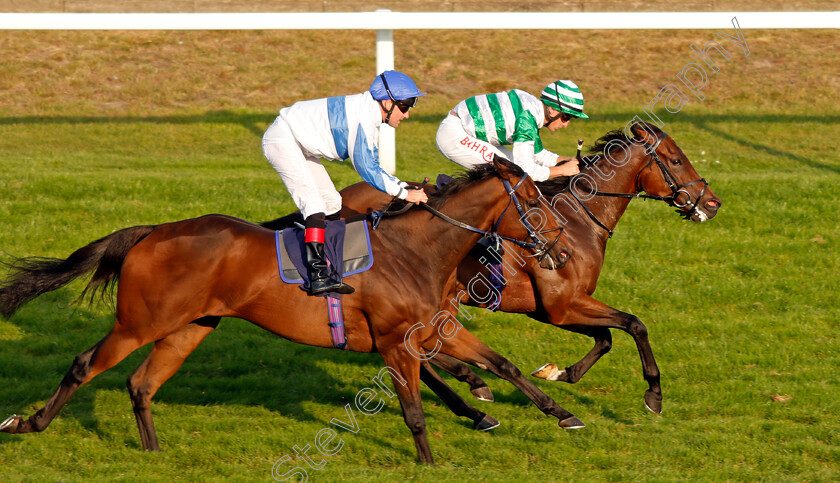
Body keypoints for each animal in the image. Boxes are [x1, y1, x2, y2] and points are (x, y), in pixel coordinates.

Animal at [0, 159, 576, 466]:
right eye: (531, 200)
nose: (564, 249)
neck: (416, 250)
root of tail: (150, 232)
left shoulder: (433, 329)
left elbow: (502, 364)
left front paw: (562, 414)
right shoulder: (396, 341)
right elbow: (414, 409)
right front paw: (429, 462)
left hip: (190, 327)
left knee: (141, 384)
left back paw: (154, 453)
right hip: (141, 322)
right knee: (84, 365)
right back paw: (27, 423)